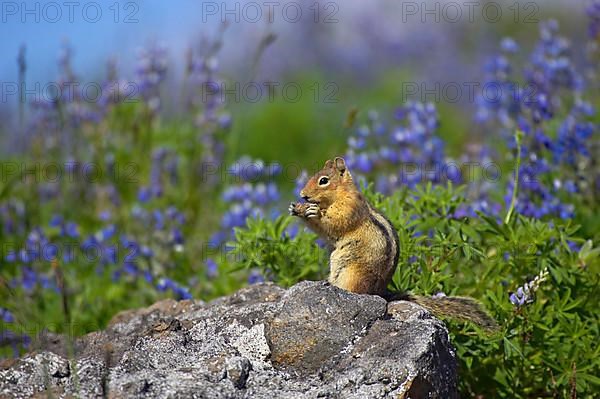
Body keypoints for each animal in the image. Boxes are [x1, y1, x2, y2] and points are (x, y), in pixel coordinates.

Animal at [290, 156, 496, 332]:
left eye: (323, 180)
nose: (302, 195)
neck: (341, 194)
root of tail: (381, 293)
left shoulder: (349, 209)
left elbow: (334, 223)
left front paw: (314, 211)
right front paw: (297, 208)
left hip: (352, 274)